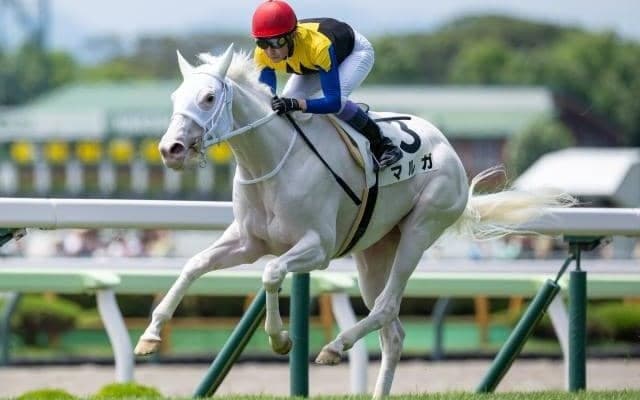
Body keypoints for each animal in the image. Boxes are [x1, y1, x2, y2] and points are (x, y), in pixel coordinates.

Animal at [134, 44, 570, 398]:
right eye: (176, 97)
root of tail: (449, 149)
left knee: (387, 307)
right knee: (394, 333)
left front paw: (280, 339)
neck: (271, 161)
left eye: (209, 97)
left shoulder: (318, 247)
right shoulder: (247, 242)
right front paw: (150, 336)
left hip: (420, 229)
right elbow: (194, 265)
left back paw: (335, 346)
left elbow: (272, 273)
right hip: (374, 252)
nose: (170, 149)